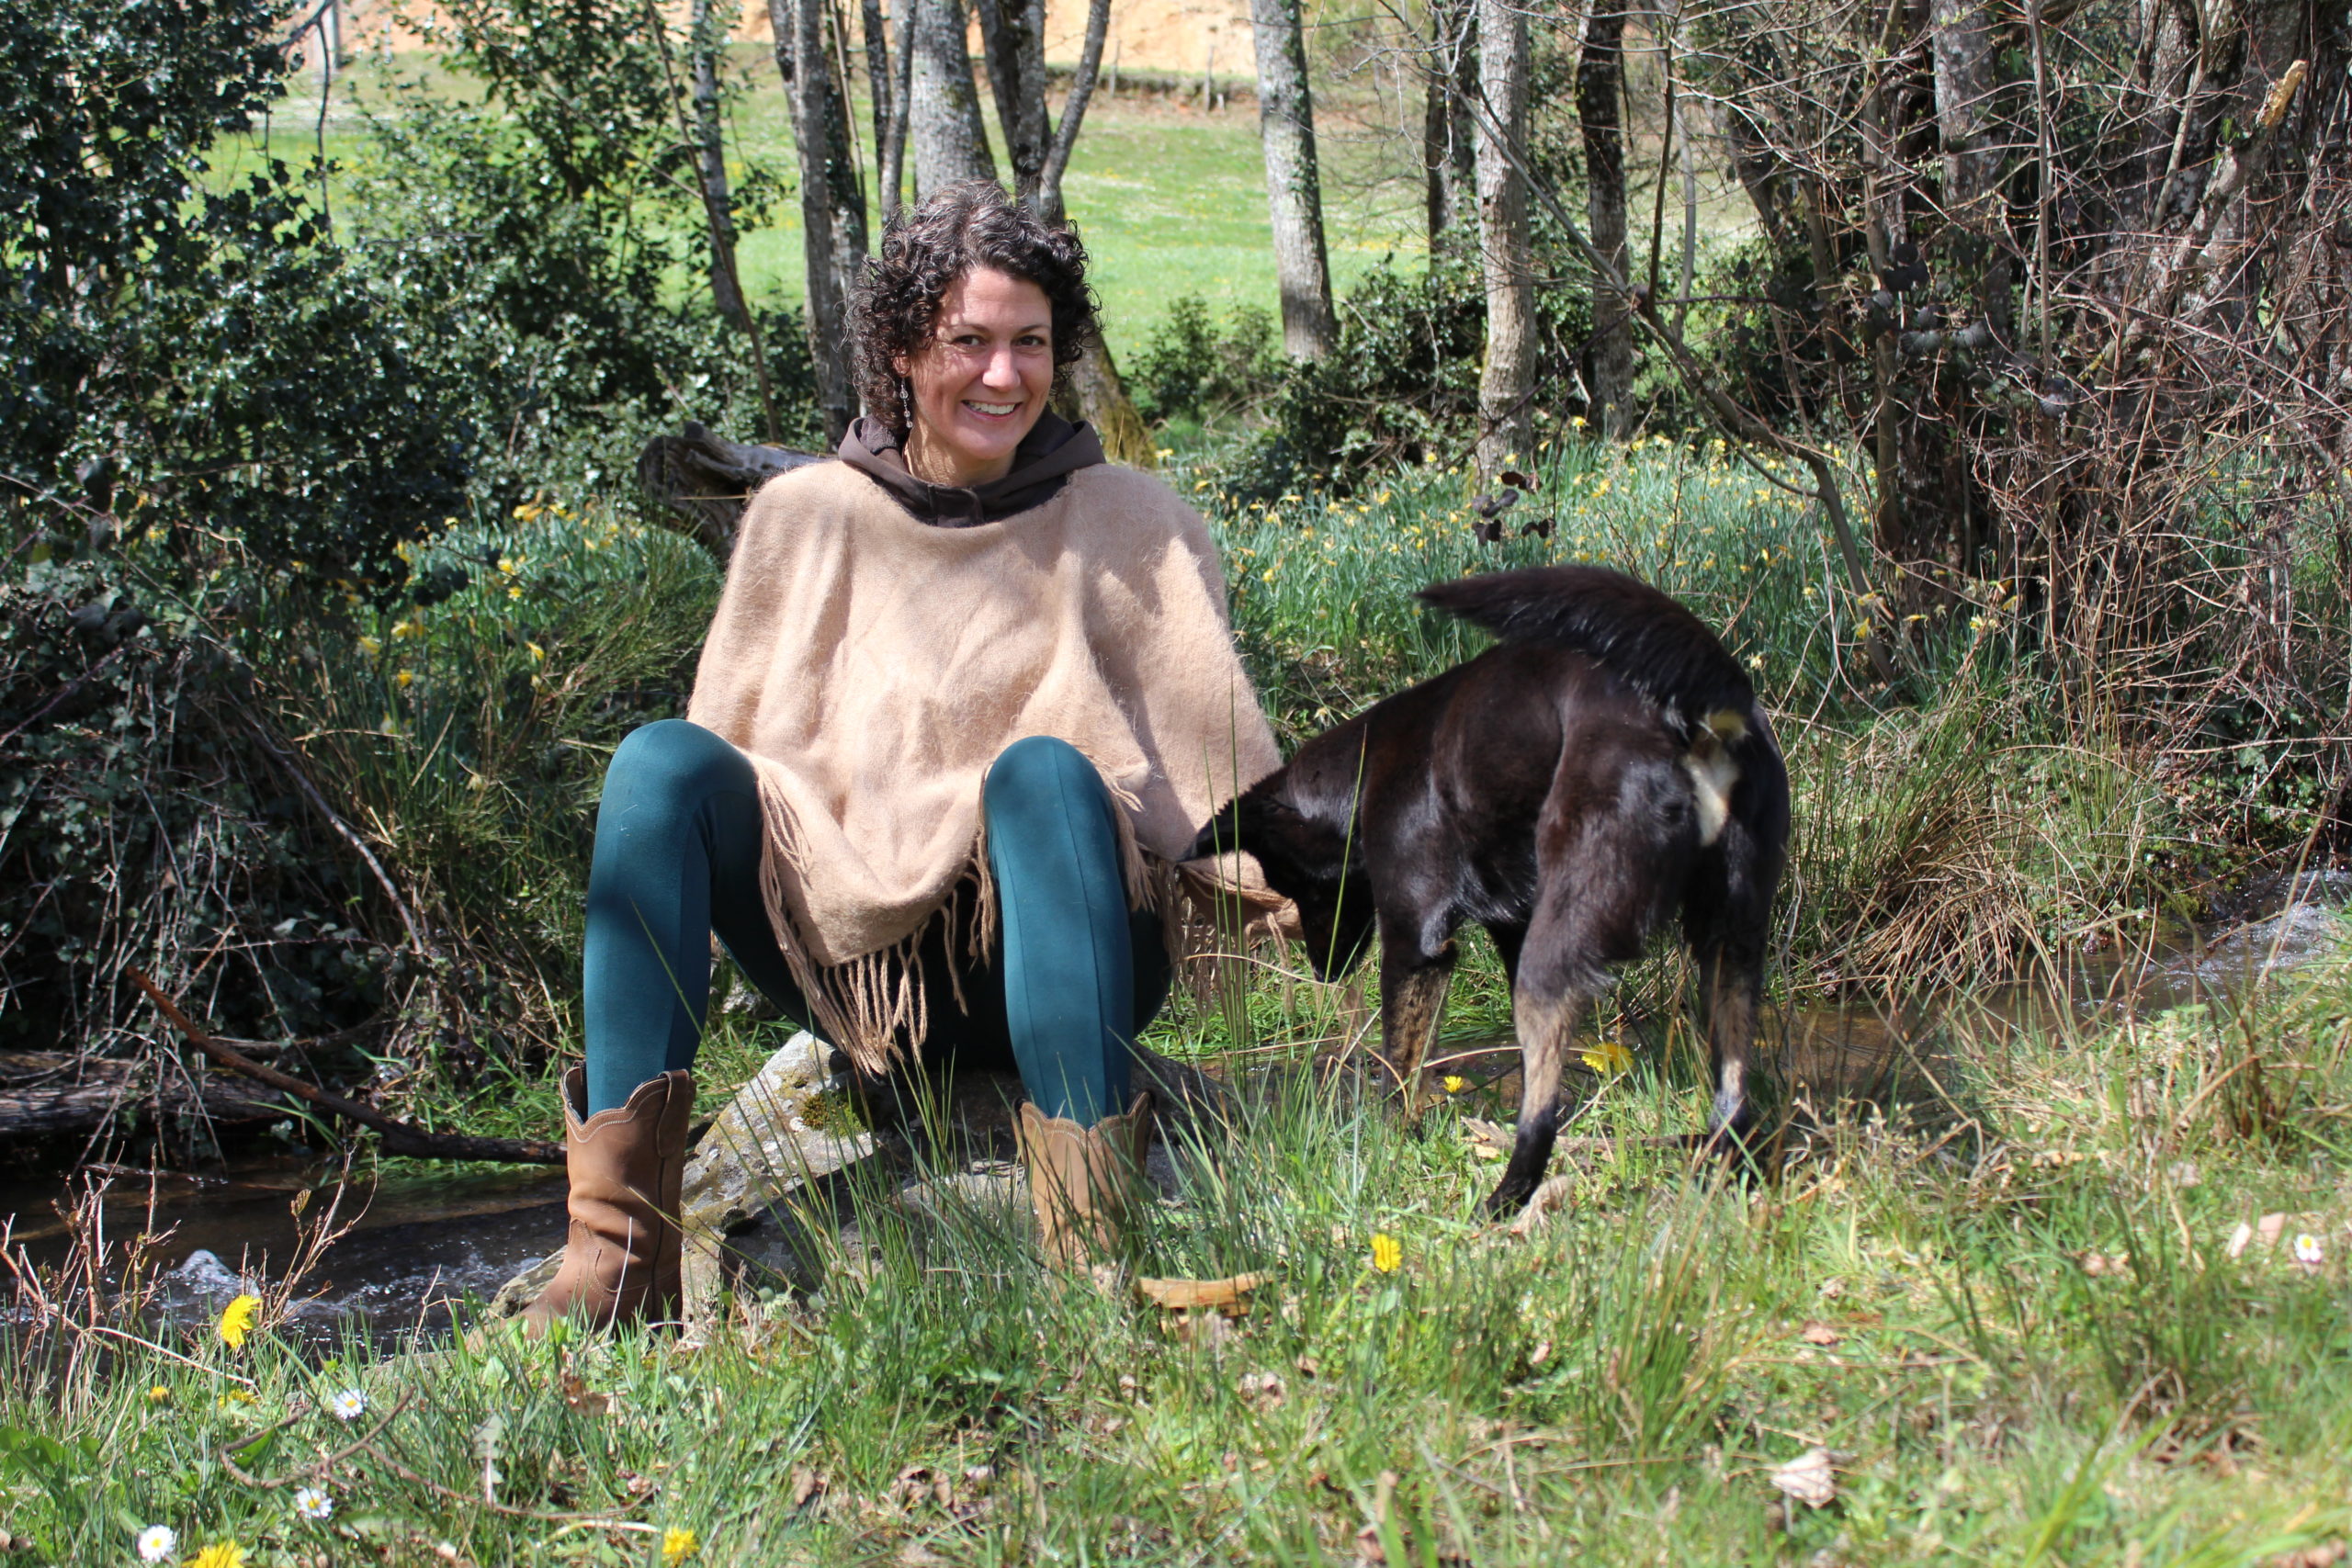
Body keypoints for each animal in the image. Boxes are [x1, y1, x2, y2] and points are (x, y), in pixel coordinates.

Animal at [1185, 564, 1787, 1213]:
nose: (1323, 970)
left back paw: (1507, 1197)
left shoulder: (1415, 946)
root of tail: (1696, 705)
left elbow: (1401, 1066)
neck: (1363, 772)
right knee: (1733, 1086)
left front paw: (1389, 1146)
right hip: (1732, 938)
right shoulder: (1510, 926)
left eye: (1293, 883)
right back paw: (1724, 1166)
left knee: (1542, 1113)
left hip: (1561, 942)